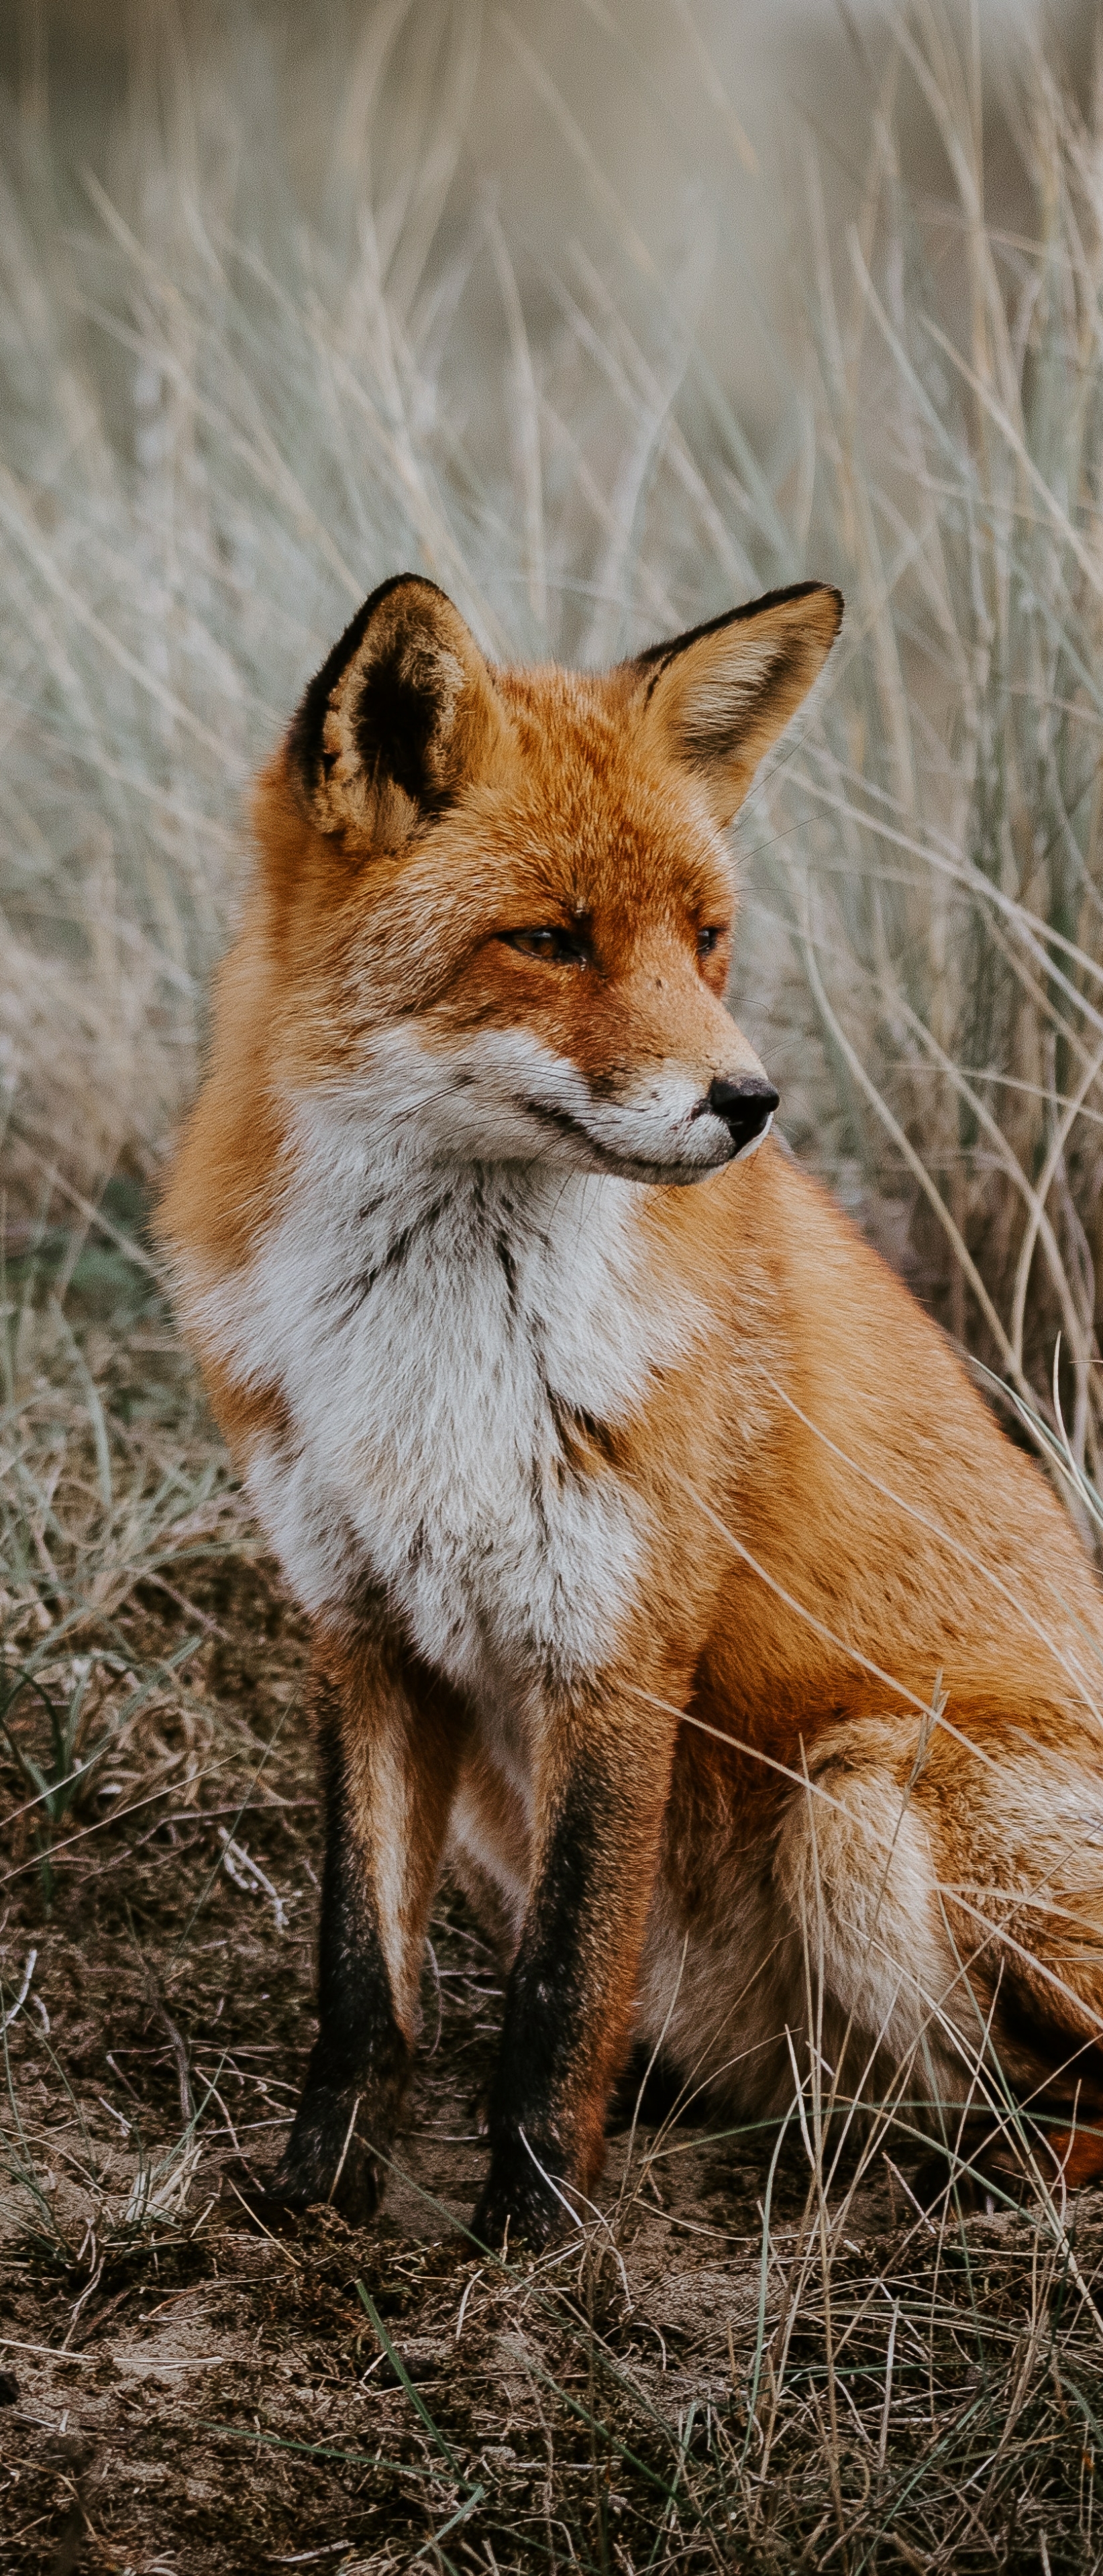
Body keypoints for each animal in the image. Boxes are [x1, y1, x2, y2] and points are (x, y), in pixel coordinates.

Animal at [159, 574, 1103, 2246]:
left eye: (706, 940)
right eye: (549, 939)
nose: (751, 1105)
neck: (435, 1353)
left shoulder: (616, 1642)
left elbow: (559, 1986)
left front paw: (534, 2240)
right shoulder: (360, 1628)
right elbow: (361, 1982)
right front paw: (316, 2207)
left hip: (862, 1799)